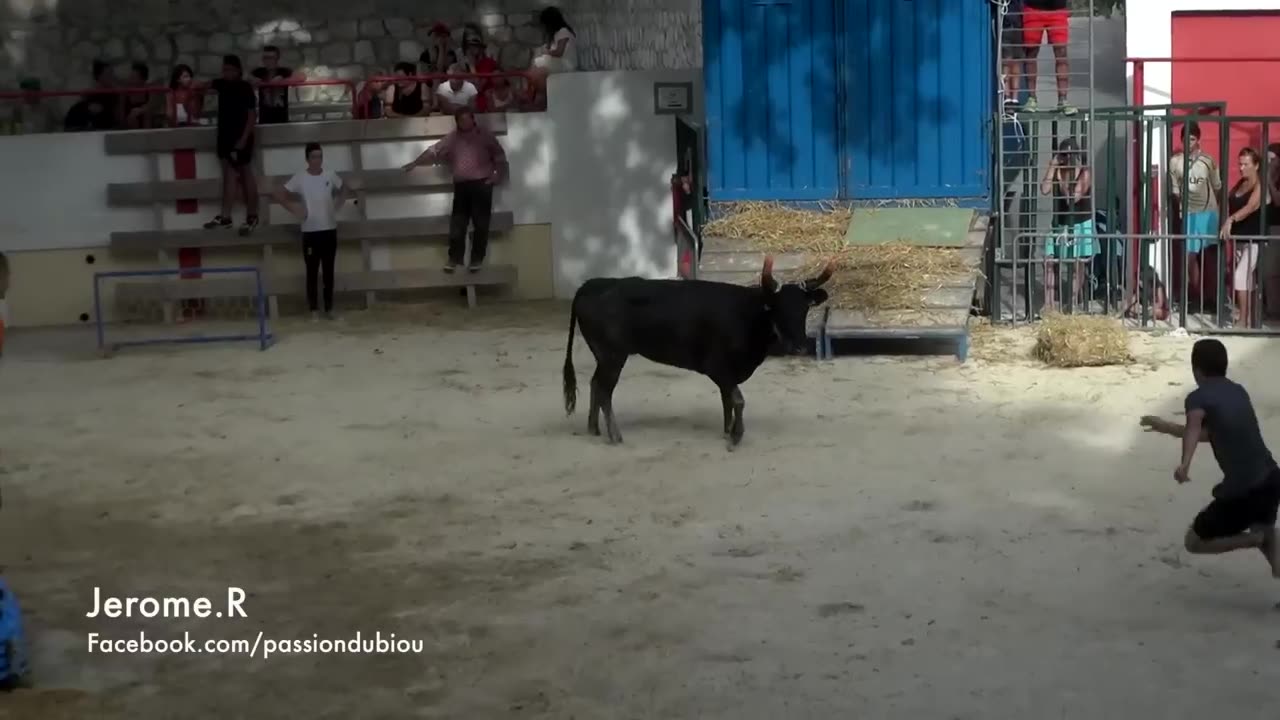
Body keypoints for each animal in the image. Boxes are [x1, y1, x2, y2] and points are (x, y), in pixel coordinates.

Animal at [565, 257, 834, 445]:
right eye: (778, 308)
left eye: (805, 309)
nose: (800, 346)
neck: (748, 314)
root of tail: (592, 284)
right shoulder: (718, 367)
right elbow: (737, 399)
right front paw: (736, 435)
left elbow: (728, 400)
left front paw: (727, 430)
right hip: (613, 355)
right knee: (604, 390)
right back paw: (614, 435)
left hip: (603, 356)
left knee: (595, 384)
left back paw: (594, 428)